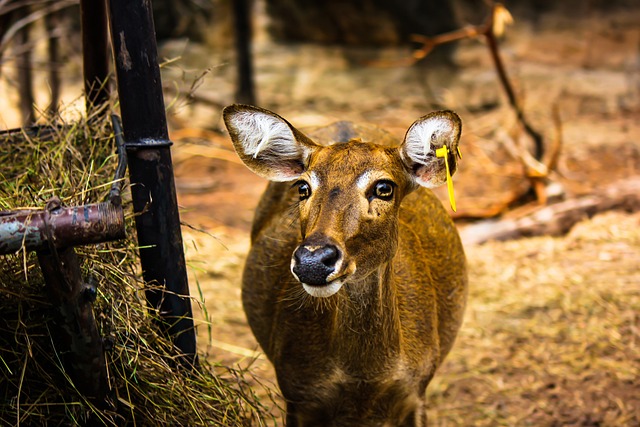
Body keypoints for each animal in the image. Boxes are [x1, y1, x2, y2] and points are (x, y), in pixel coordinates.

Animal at [223, 104, 468, 427]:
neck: (364, 378)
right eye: (303, 187)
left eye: (384, 187)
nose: (313, 260)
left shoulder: (417, 391)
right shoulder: (295, 391)